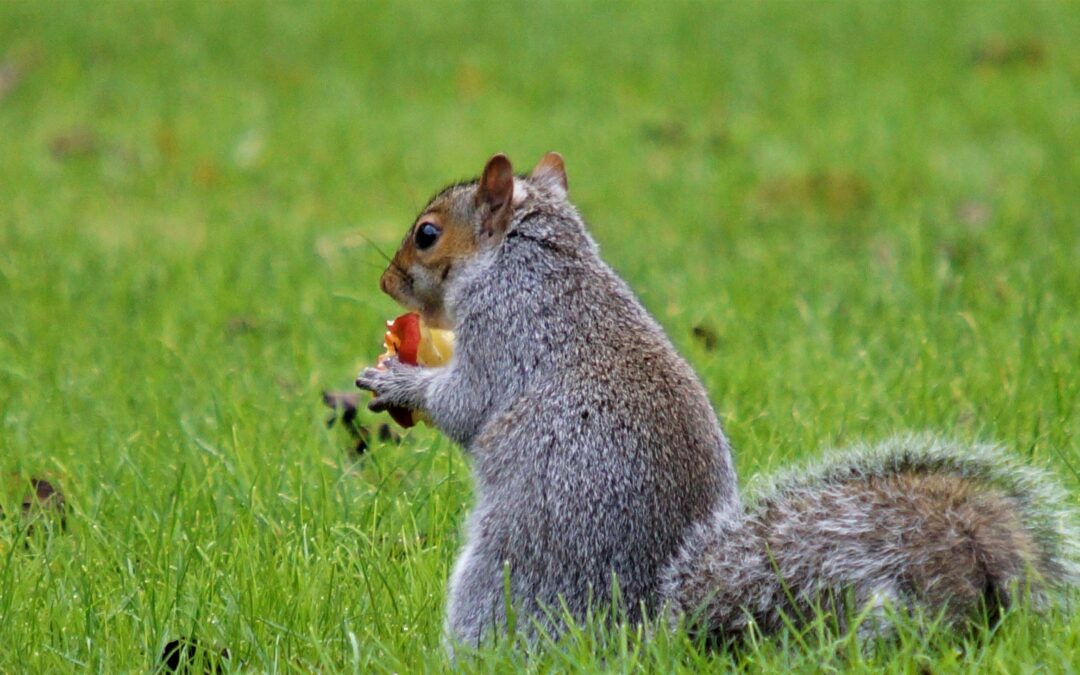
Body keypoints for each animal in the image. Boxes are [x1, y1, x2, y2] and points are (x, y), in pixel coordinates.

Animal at [356, 153, 1078, 651]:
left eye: (427, 234)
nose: (386, 281)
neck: (532, 258)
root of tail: (646, 631)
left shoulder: (504, 331)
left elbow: (466, 404)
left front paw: (396, 380)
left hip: (502, 576)